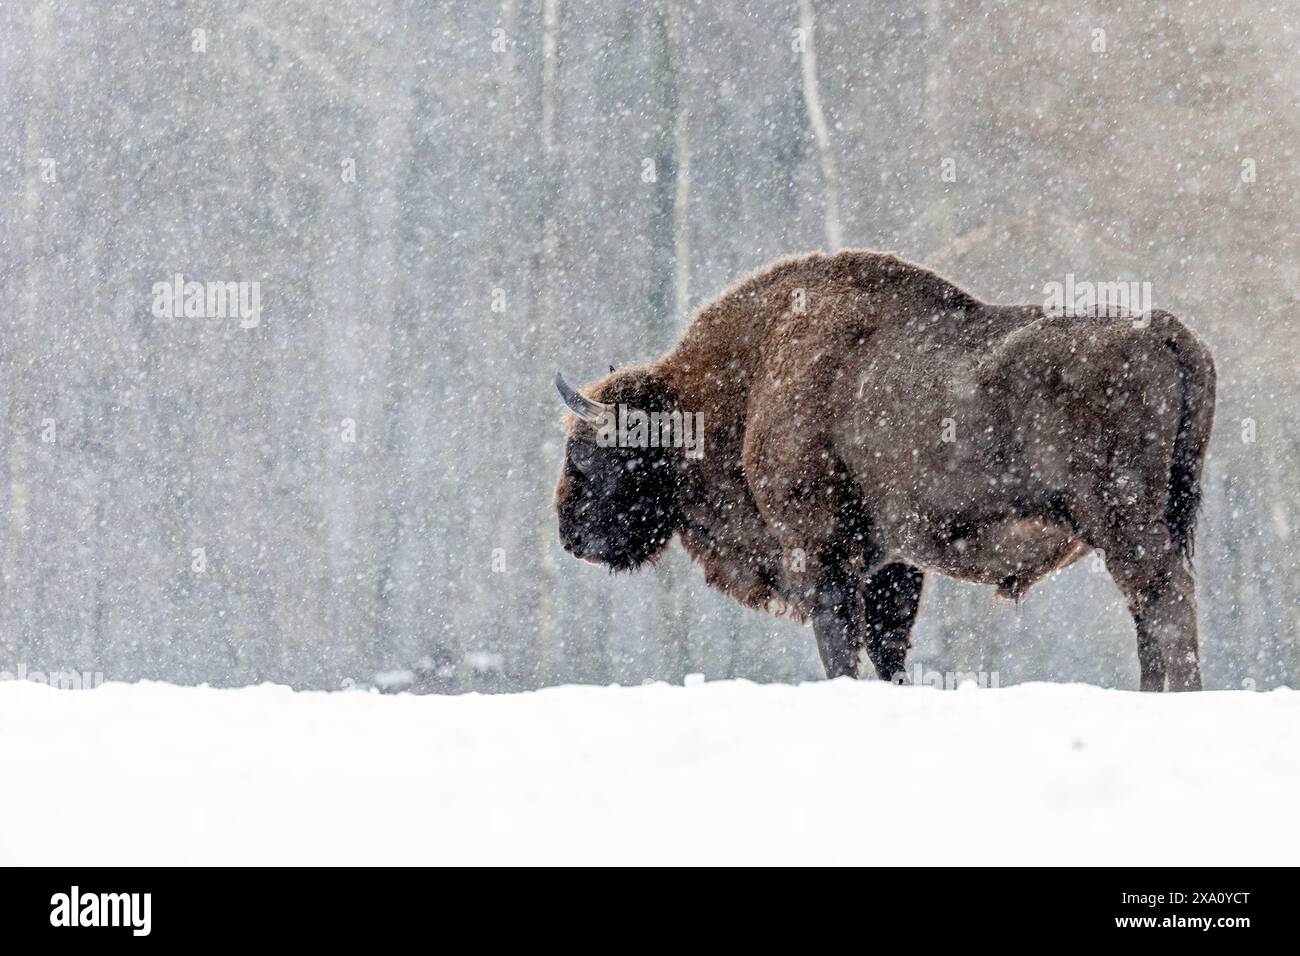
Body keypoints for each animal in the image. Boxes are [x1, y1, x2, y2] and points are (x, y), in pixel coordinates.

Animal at [554, 251, 1215, 690]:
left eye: (589, 452)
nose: (569, 537)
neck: (752, 379)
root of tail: (1164, 331)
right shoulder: (893, 564)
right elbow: (888, 647)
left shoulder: (820, 550)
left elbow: (842, 645)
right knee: (1153, 612)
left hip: (1121, 521)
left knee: (1164, 603)